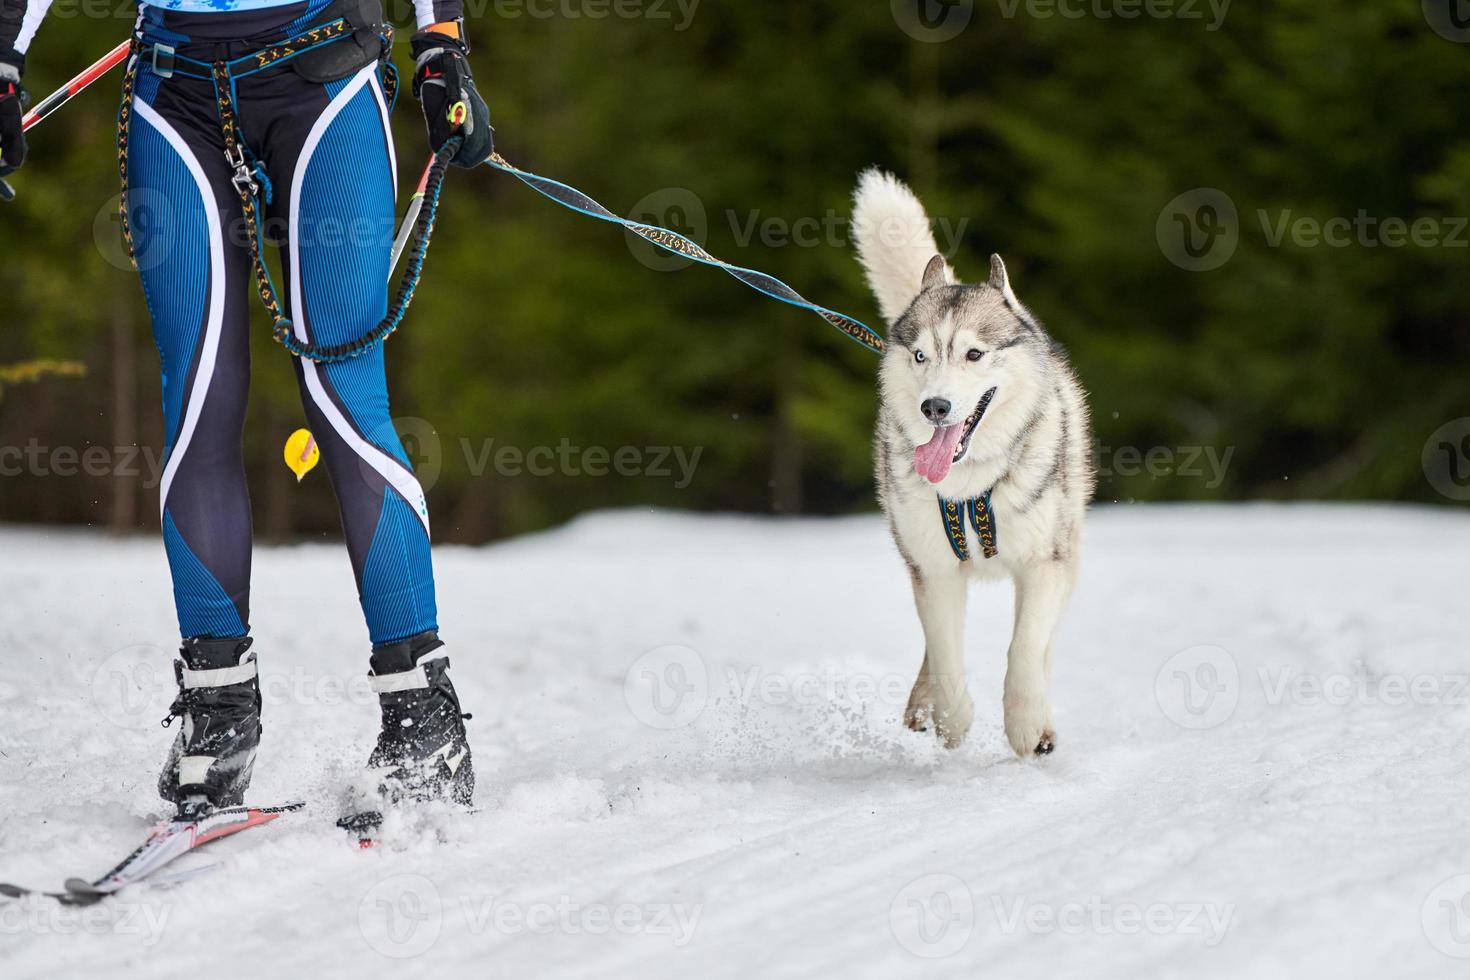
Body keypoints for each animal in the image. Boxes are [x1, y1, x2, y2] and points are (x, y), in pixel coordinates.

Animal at [852, 170, 1093, 758]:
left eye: (974, 354)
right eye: (920, 355)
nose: (934, 407)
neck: (970, 489)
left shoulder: (1045, 563)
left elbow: (1024, 649)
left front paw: (1027, 725)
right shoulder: (933, 570)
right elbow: (945, 655)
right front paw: (952, 719)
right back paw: (923, 705)